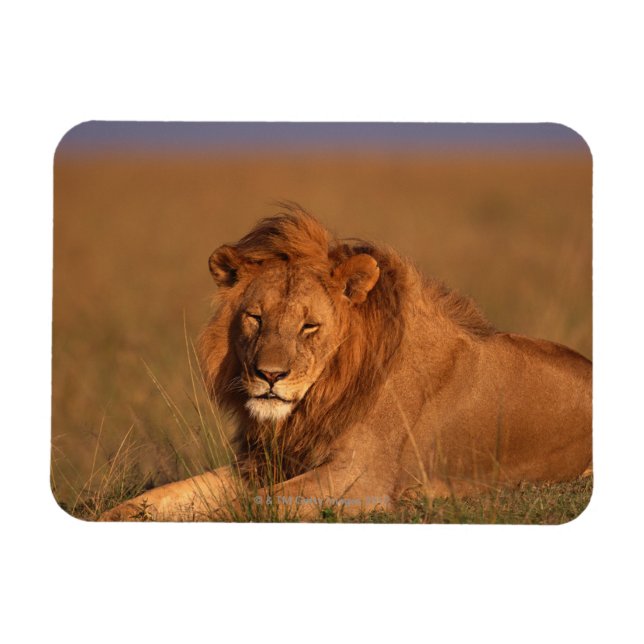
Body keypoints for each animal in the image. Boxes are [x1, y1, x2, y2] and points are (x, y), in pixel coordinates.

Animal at [100, 204, 592, 521]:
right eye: (255, 318)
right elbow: (167, 495)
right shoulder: (264, 463)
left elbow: (243, 507)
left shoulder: (361, 479)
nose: (269, 376)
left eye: (309, 326)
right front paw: (113, 514)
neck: (322, 396)